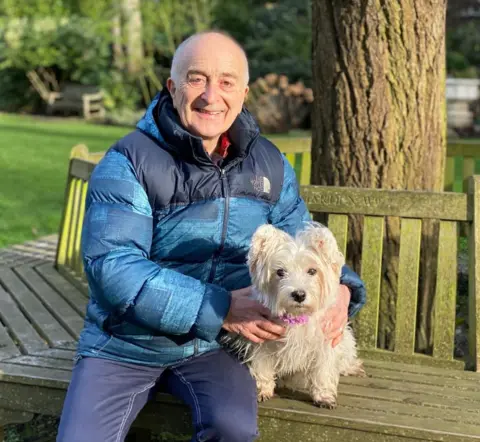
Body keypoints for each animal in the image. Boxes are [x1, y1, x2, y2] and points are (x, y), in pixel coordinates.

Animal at [229, 223, 364, 410]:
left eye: (312, 271)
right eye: (280, 272)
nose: (299, 294)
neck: (296, 317)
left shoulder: (325, 342)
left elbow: (323, 370)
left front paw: (324, 397)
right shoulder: (262, 341)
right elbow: (262, 366)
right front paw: (263, 390)